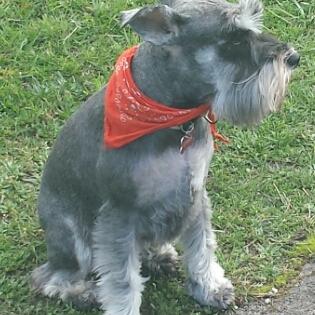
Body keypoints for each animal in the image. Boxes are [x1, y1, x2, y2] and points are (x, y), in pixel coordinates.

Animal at [30, 0, 300, 315]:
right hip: (74, 237)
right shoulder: (118, 215)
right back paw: (85, 293)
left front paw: (209, 288)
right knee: (52, 277)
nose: (293, 57)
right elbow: (122, 280)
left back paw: (158, 256)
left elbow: (202, 246)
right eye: (233, 39)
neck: (173, 118)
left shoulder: (195, 193)